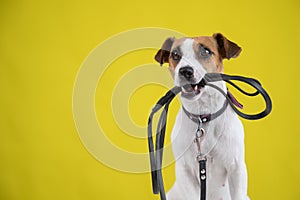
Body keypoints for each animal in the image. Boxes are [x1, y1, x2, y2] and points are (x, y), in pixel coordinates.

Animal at [156, 33, 250, 199]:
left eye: (205, 51)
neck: (203, 115)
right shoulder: (185, 171)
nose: (185, 71)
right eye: (175, 55)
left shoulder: (236, 168)